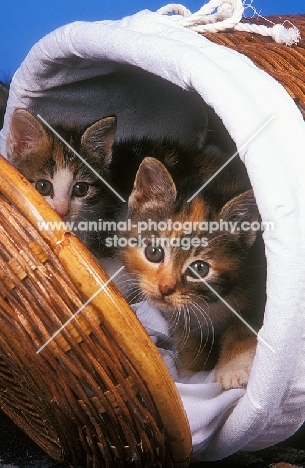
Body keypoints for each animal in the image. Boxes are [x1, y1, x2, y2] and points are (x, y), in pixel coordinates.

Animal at [117, 158, 264, 392]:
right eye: (153, 252)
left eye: (200, 269)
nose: (165, 288)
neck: (208, 302)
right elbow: (189, 339)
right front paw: (192, 372)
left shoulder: (256, 291)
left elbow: (243, 331)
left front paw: (233, 369)